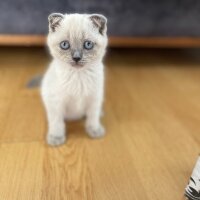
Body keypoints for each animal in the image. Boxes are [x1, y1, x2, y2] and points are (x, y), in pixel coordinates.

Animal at [40, 13, 108, 146]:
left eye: (88, 44)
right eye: (64, 45)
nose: (76, 58)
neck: (78, 76)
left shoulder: (95, 98)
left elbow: (93, 116)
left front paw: (95, 130)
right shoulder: (55, 102)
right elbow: (57, 122)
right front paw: (56, 138)